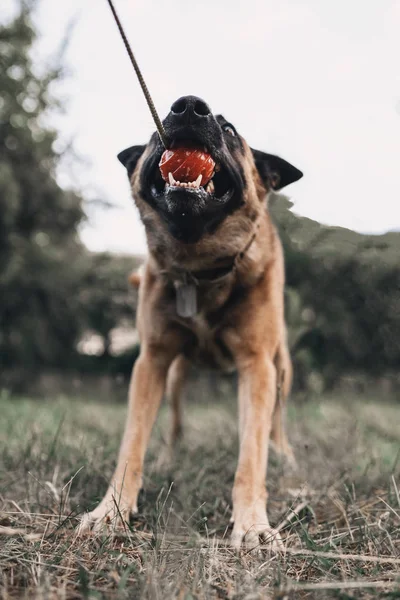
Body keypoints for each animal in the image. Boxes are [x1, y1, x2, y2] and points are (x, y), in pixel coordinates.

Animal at [79, 94, 302, 548]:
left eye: (230, 129)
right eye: (157, 125)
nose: (188, 106)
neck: (199, 267)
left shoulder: (258, 367)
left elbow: (252, 453)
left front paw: (253, 524)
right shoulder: (152, 361)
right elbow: (132, 442)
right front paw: (111, 511)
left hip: (281, 370)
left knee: (274, 424)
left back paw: (284, 455)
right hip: (178, 372)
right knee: (176, 421)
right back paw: (169, 456)